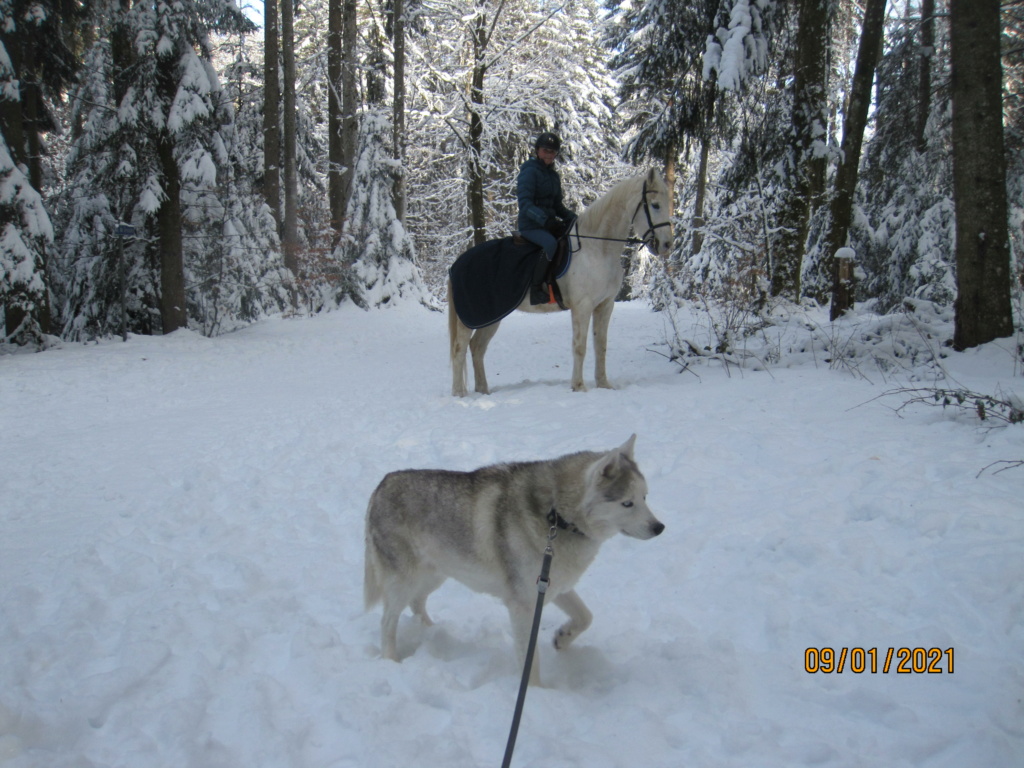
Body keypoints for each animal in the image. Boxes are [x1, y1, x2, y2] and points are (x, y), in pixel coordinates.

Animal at [366, 436, 663, 684]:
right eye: (627, 503)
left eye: (645, 497)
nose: (659, 527)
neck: (557, 516)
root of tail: (381, 484)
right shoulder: (523, 604)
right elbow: (530, 660)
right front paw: (538, 694)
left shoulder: (552, 585)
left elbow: (586, 616)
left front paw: (563, 639)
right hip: (405, 580)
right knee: (387, 621)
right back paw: (392, 660)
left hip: (435, 575)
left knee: (417, 603)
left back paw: (432, 632)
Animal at [448, 167, 671, 397]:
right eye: (655, 205)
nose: (666, 244)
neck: (597, 249)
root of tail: (457, 264)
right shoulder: (582, 307)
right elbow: (579, 347)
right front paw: (579, 386)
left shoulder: (605, 305)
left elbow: (600, 346)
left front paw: (603, 385)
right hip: (469, 319)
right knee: (459, 349)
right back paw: (459, 394)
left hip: (491, 317)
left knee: (477, 347)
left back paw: (483, 391)